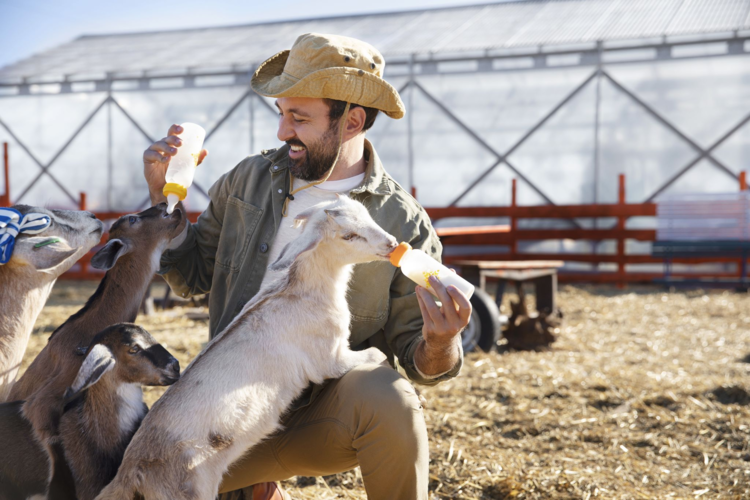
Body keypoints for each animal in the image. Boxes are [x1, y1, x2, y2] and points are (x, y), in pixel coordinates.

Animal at [97, 196, 402, 500]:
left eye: (367, 214)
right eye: (348, 235)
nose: (391, 243)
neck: (302, 292)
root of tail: (130, 471)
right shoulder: (330, 358)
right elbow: (376, 355)